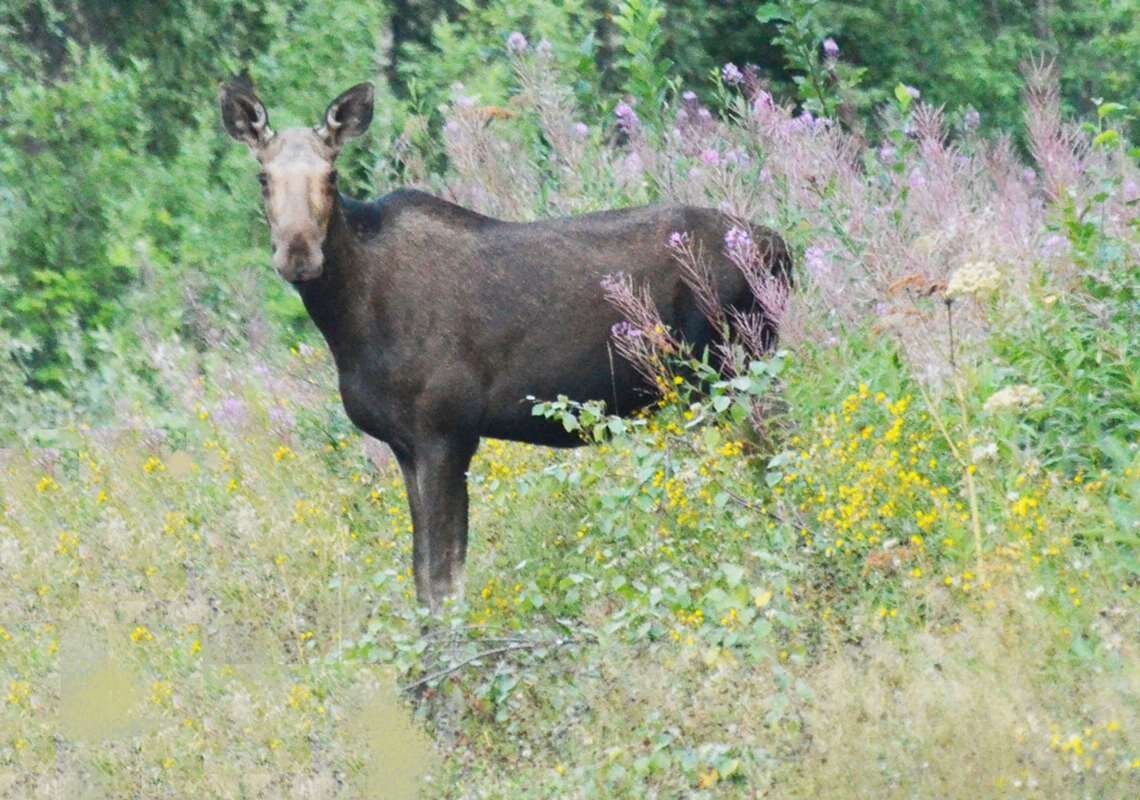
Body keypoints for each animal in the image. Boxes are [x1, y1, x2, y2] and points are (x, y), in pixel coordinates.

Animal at [222, 81, 793, 615]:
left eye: (332, 176)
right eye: (263, 177)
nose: (299, 255)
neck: (349, 325)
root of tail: (780, 246)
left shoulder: (447, 431)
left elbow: (443, 580)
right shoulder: (405, 445)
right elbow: (421, 577)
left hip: (738, 369)